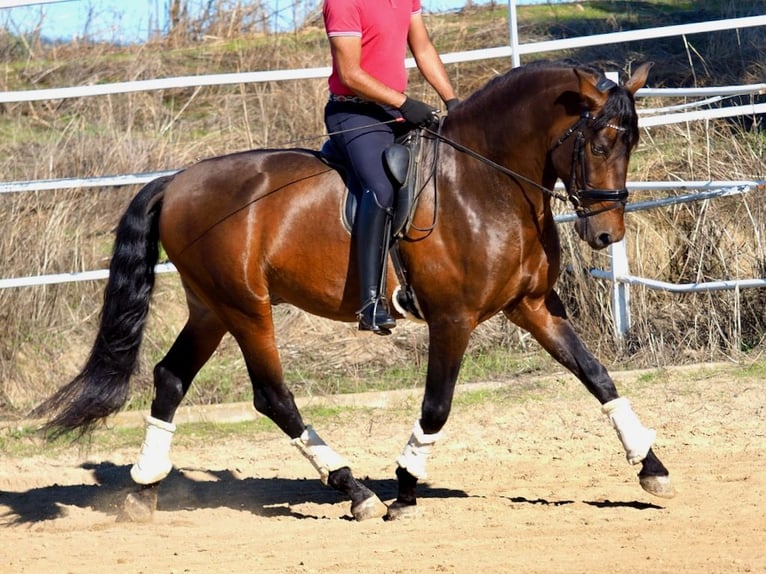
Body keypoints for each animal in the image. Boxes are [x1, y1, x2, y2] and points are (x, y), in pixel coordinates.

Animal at [36, 60, 676, 524]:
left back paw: (144, 489)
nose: (606, 235)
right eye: (598, 144)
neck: (487, 182)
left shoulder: (534, 306)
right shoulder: (453, 318)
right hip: (247, 308)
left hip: (210, 307)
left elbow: (597, 376)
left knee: (170, 377)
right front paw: (406, 485)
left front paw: (651, 467)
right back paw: (355, 490)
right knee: (272, 396)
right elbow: (437, 405)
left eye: (632, 145)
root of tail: (177, 182)